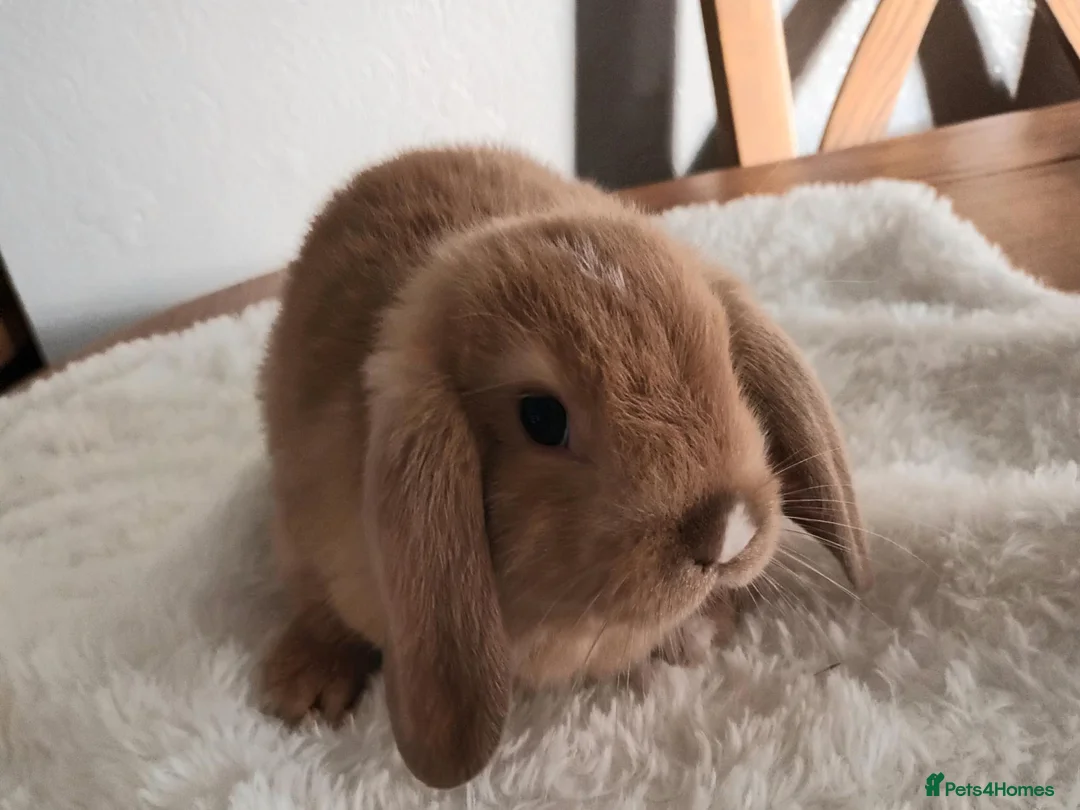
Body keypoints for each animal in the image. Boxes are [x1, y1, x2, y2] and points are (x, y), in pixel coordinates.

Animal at [256, 145, 871, 790]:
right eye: (542, 418)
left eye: (726, 357)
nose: (728, 529)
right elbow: (322, 613)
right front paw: (302, 695)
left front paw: (697, 633)